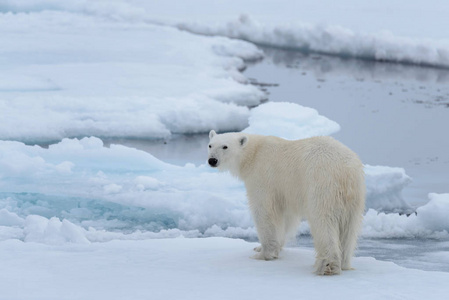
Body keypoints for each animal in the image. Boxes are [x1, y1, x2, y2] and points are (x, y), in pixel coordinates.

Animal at [206, 130, 364, 276]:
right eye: (210, 145)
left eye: (225, 146)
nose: (212, 160)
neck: (254, 154)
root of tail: (345, 171)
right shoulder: (285, 191)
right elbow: (286, 217)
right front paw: (261, 247)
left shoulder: (263, 178)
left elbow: (264, 212)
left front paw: (263, 254)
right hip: (354, 196)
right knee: (349, 228)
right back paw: (344, 263)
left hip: (321, 185)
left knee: (323, 221)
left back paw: (327, 266)